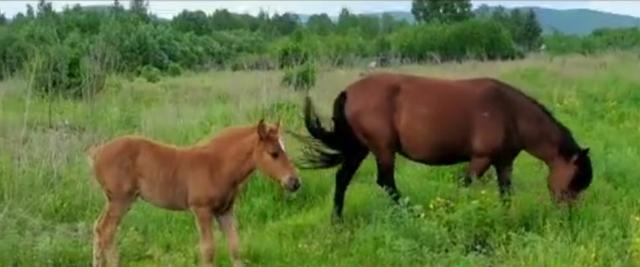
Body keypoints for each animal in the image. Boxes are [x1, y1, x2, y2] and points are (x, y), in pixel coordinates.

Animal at [89, 120, 302, 267]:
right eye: (274, 153)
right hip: (121, 199)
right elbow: (208, 250)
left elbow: (235, 247)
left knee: (99, 228)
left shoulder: (225, 211)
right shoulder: (202, 210)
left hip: (115, 200)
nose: (295, 182)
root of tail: (97, 153)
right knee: (107, 231)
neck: (218, 165)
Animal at [298, 72, 592, 221]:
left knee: (343, 178)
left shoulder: (504, 161)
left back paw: (337, 220)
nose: (570, 219)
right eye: (573, 182)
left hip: (360, 148)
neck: (509, 112)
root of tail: (349, 91)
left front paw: (507, 218)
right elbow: (465, 186)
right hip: (383, 149)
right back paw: (412, 214)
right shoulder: (480, 159)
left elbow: (506, 193)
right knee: (386, 183)